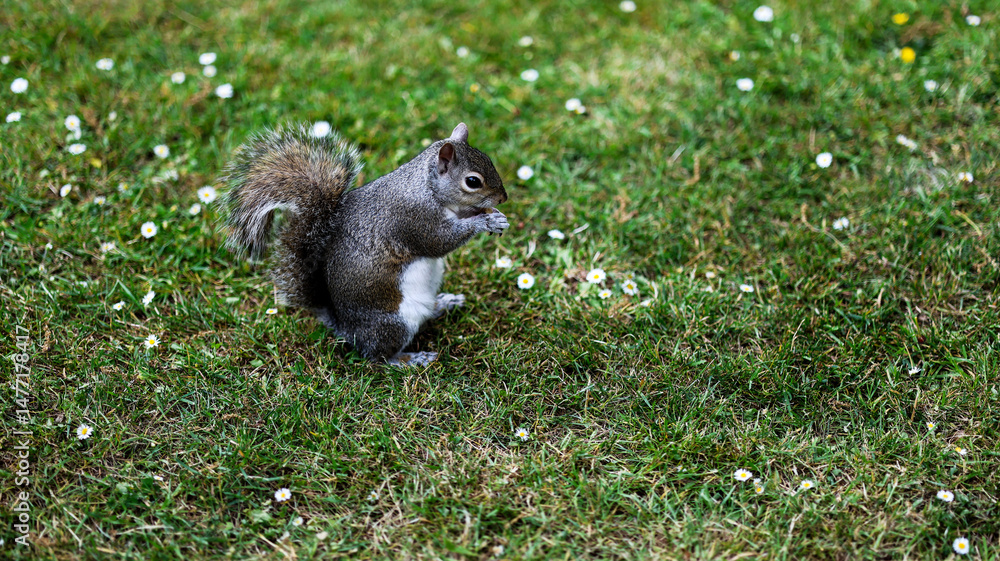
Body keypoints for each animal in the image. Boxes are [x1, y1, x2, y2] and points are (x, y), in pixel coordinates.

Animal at [222, 122, 509, 365]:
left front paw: (493, 215)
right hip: (393, 322)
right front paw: (485, 222)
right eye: (472, 181)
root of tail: (345, 328)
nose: (503, 198)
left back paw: (444, 303)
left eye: (489, 160)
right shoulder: (415, 220)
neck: (426, 186)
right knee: (377, 356)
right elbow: (439, 243)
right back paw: (409, 359)